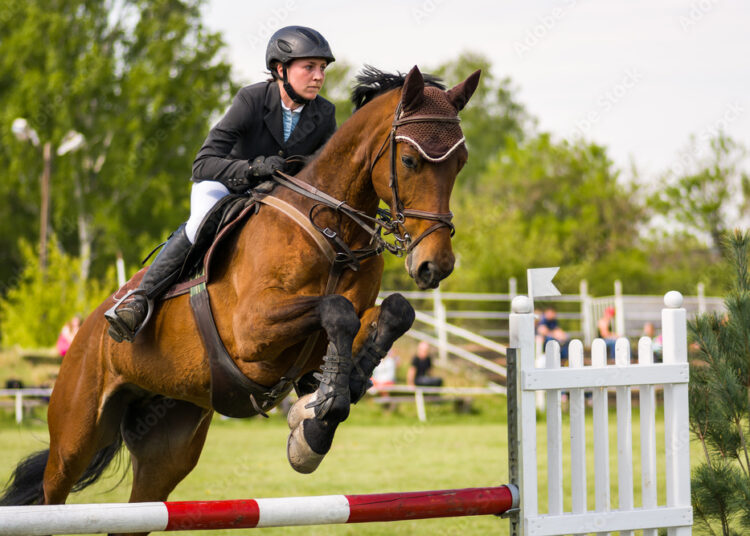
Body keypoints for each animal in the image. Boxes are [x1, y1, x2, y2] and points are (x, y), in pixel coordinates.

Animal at [0, 65, 480, 534]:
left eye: (461, 164)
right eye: (410, 160)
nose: (435, 265)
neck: (331, 229)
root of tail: (89, 327)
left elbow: (393, 312)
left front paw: (327, 405)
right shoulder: (252, 333)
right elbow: (337, 311)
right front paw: (321, 414)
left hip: (167, 447)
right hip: (76, 435)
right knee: (52, 493)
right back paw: (130, 311)